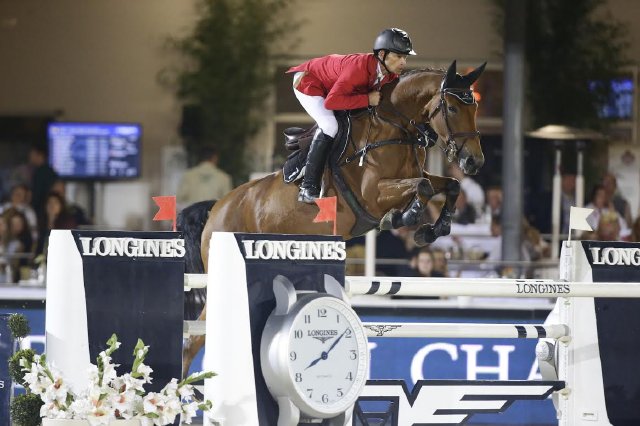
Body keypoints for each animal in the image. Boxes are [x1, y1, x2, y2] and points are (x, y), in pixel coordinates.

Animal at [179, 59, 484, 372]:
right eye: (452, 108)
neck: (393, 128)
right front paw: (405, 218)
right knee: (194, 340)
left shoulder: (416, 177)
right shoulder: (373, 196)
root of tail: (217, 208)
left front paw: (434, 229)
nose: (474, 162)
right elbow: (422, 187)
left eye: (474, 108)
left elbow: (449, 184)